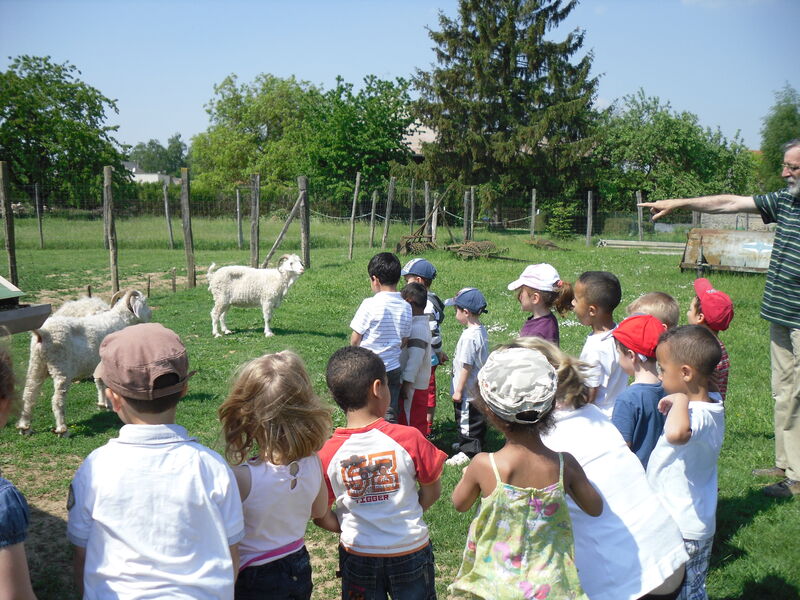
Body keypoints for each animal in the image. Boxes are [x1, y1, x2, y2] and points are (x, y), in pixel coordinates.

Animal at [16, 290, 152, 436]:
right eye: (144, 302)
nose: (151, 314)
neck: (121, 320)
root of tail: (43, 333)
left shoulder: (99, 364)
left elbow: (100, 383)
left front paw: (103, 404)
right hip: (61, 368)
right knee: (57, 400)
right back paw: (62, 429)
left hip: (36, 365)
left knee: (29, 394)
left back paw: (25, 427)